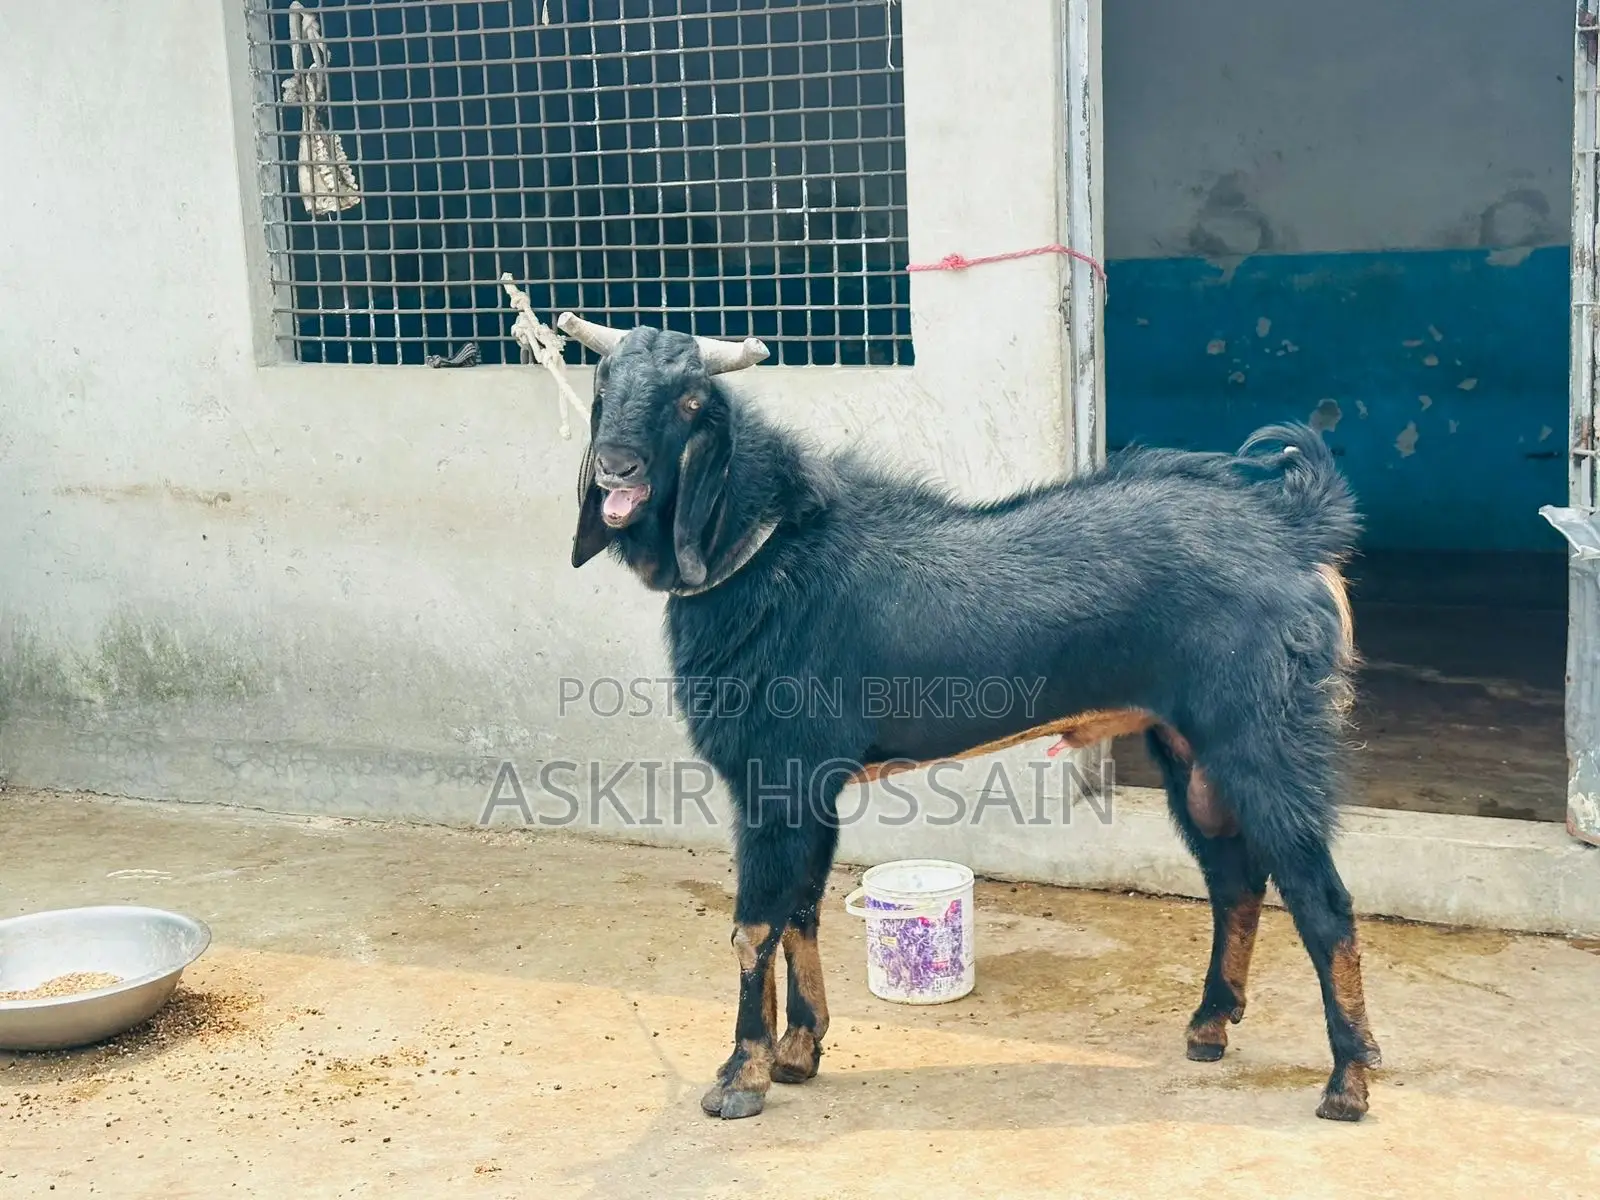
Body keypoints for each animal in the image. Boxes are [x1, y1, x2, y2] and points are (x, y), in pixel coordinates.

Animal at [560, 312, 1380, 1123]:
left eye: (692, 400)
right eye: (604, 384)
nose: (616, 468)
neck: (769, 550)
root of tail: (1293, 528)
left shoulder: (777, 774)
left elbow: (755, 923)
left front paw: (741, 1075)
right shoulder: (812, 785)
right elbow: (801, 910)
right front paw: (799, 1051)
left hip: (1263, 738)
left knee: (1322, 898)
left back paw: (1348, 1080)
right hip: (1190, 750)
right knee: (1234, 879)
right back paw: (1211, 1024)